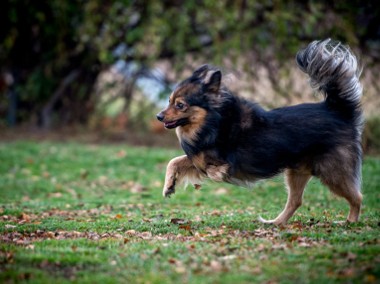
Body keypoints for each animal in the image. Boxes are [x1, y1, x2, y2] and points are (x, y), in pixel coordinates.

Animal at [156, 39, 364, 226]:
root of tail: (337, 110)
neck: (213, 121)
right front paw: (169, 186)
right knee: (296, 201)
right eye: (169, 101)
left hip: (332, 171)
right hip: (297, 171)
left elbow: (211, 169)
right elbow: (175, 161)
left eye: (180, 105)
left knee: (357, 197)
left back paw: (350, 222)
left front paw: (217, 173)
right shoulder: (198, 157)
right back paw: (276, 222)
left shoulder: (219, 159)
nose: (158, 116)